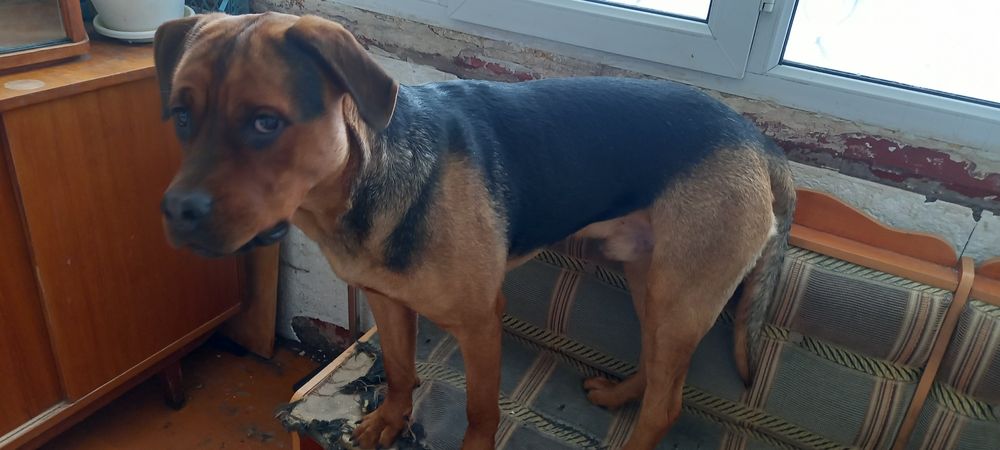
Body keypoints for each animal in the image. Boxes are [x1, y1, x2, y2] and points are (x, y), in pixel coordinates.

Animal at [154, 12, 795, 450]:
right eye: (180, 117)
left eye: (266, 123)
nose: (175, 212)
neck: (362, 184)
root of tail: (763, 144)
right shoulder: (388, 304)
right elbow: (401, 373)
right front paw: (389, 423)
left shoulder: (482, 324)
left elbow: (481, 410)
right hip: (651, 283)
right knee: (659, 373)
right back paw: (618, 394)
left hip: (679, 297)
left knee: (667, 406)